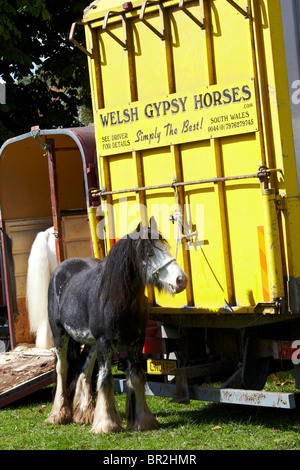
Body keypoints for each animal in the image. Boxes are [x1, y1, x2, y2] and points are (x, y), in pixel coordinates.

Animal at [44, 218, 188, 436]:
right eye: (149, 252)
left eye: (166, 247)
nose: (181, 280)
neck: (117, 299)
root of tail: (60, 270)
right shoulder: (105, 342)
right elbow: (105, 380)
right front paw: (106, 424)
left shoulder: (137, 342)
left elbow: (136, 378)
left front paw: (142, 421)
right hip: (60, 334)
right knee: (63, 368)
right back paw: (59, 414)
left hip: (91, 343)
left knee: (84, 371)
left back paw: (85, 415)